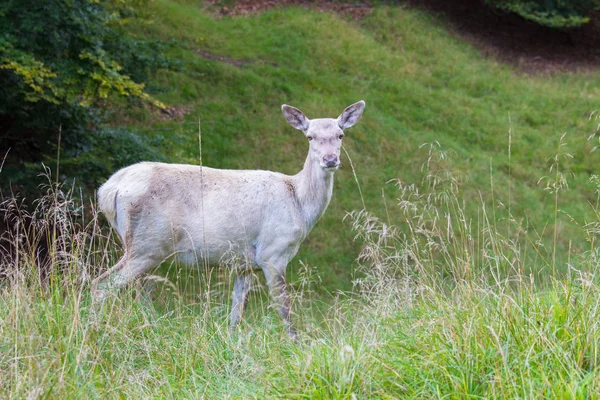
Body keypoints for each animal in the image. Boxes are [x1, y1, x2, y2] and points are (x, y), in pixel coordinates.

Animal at [93, 101, 366, 338]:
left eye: (340, 135)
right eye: (309, 136)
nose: (330, 159)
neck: (298, 203)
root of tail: (107, 190)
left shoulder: (244, 263)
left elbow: (237, 314)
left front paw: (233, 345)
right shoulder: (272, 252)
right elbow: (284, 309)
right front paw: (297, 345)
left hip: (142, 246)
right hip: (147, 244)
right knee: (101, 285)